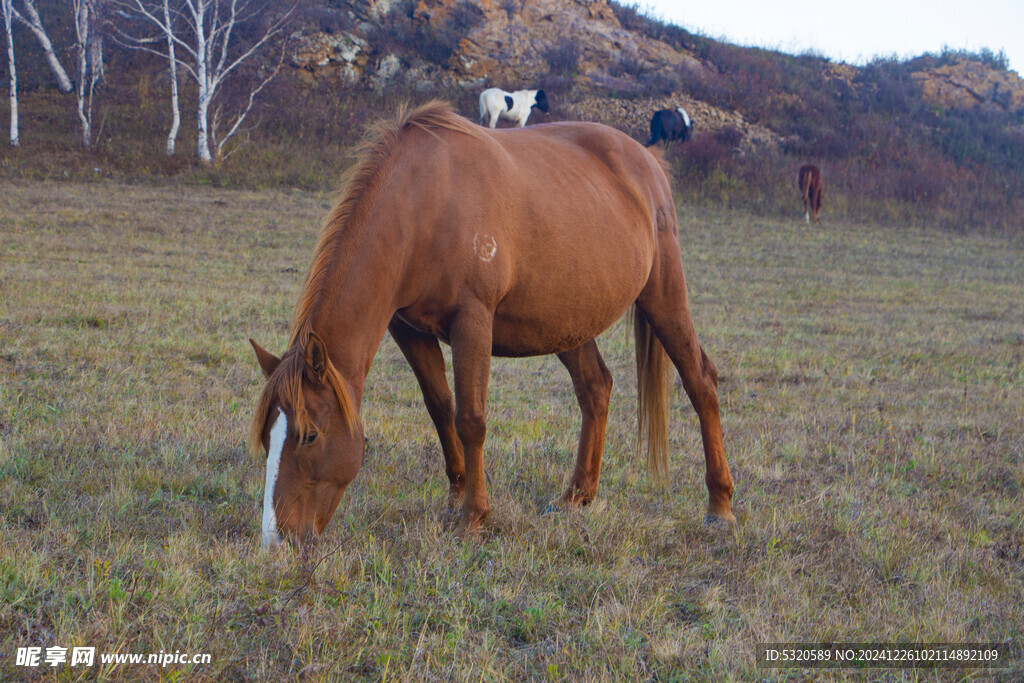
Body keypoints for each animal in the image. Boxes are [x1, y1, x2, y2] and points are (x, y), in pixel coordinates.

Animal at [249, 101, 737, 548]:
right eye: (267, 436)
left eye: (309, 435)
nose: (277, 539)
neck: (423, 203)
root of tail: (647, 161)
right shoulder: (409, 329)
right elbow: (440, 407)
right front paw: (456, 496)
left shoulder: (472, 320)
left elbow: (471, 418)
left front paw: (474, 516)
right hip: (567, 321)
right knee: (596, 388)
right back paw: (576, 496)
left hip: (663, 296)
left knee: (700, 381)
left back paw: (719, 506)